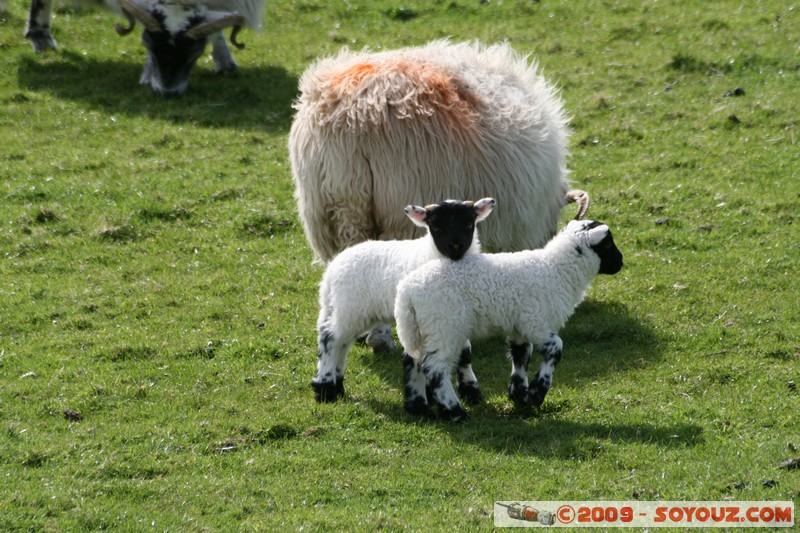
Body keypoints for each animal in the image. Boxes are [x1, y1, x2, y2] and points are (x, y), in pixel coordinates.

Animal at [312, 198, 495, 403]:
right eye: (435, 225)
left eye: (469, 224)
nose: (455, 246)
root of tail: (332, 269)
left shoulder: (457, 316)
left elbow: (465, 354)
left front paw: (471, 391)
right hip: (351, 308)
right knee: (330, 337)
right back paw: (325, 389)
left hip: (352, 311)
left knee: (341, 343)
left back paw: (337, 386)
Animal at [394, 219, 623, 421]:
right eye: (608, 244)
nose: (621, 262)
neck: (557, 270)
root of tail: (407, 291)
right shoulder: (536, 322)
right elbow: (555, 349)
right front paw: (536, 393)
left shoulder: (520, 327)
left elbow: (521, 355)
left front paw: (519, 394)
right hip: (445, 326)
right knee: (435, 369)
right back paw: (455, 412)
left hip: (421, 328)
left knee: (412, 360)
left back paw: (417, 407)